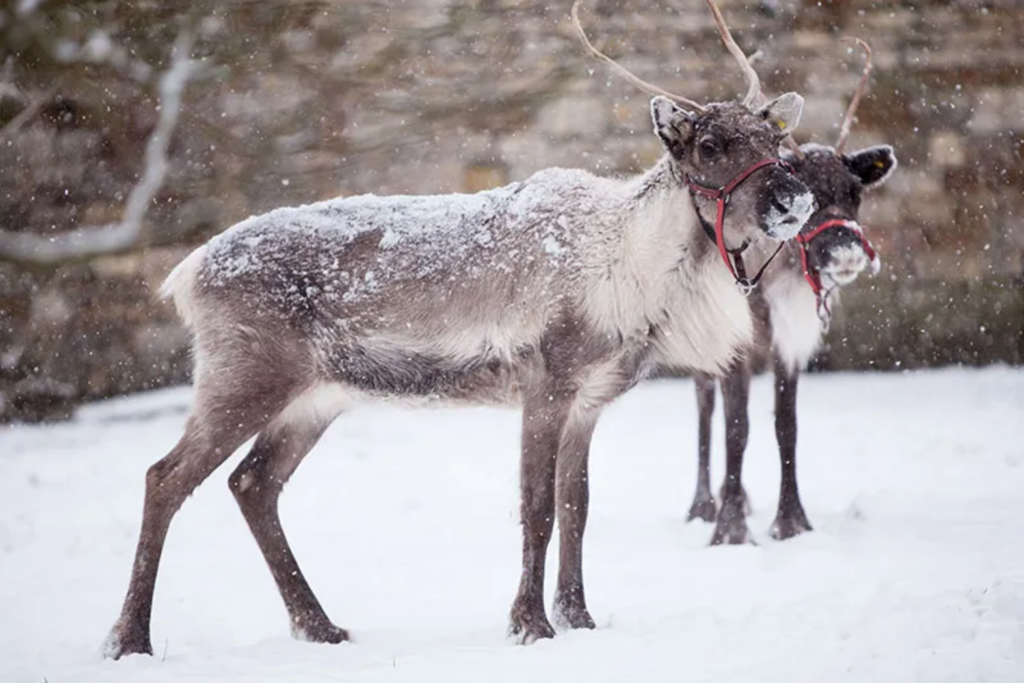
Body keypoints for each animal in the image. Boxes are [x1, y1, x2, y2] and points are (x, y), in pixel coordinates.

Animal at [103, 0, 817, 658]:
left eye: (774, 141)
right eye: (710, 145)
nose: (794, 199)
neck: (635, 273)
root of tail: (187, 273)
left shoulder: (591, 400)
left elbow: (578, 509)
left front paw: (581, 619)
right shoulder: (545, 382)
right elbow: (537, 508)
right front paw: (530, 625)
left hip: (316, 397)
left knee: (252, 484)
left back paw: (321, 627)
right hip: (243, 374)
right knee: (164, 477)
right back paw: (130, 639)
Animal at [682, 18, 898, 545]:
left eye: (855, 193)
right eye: (808, 197)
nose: (847, 251)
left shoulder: (790, 341)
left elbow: (786, 424)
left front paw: (791, 521)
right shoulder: (736, 344)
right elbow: (736, 425)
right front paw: (730, 529)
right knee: (704, 405)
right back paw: (704, 504)